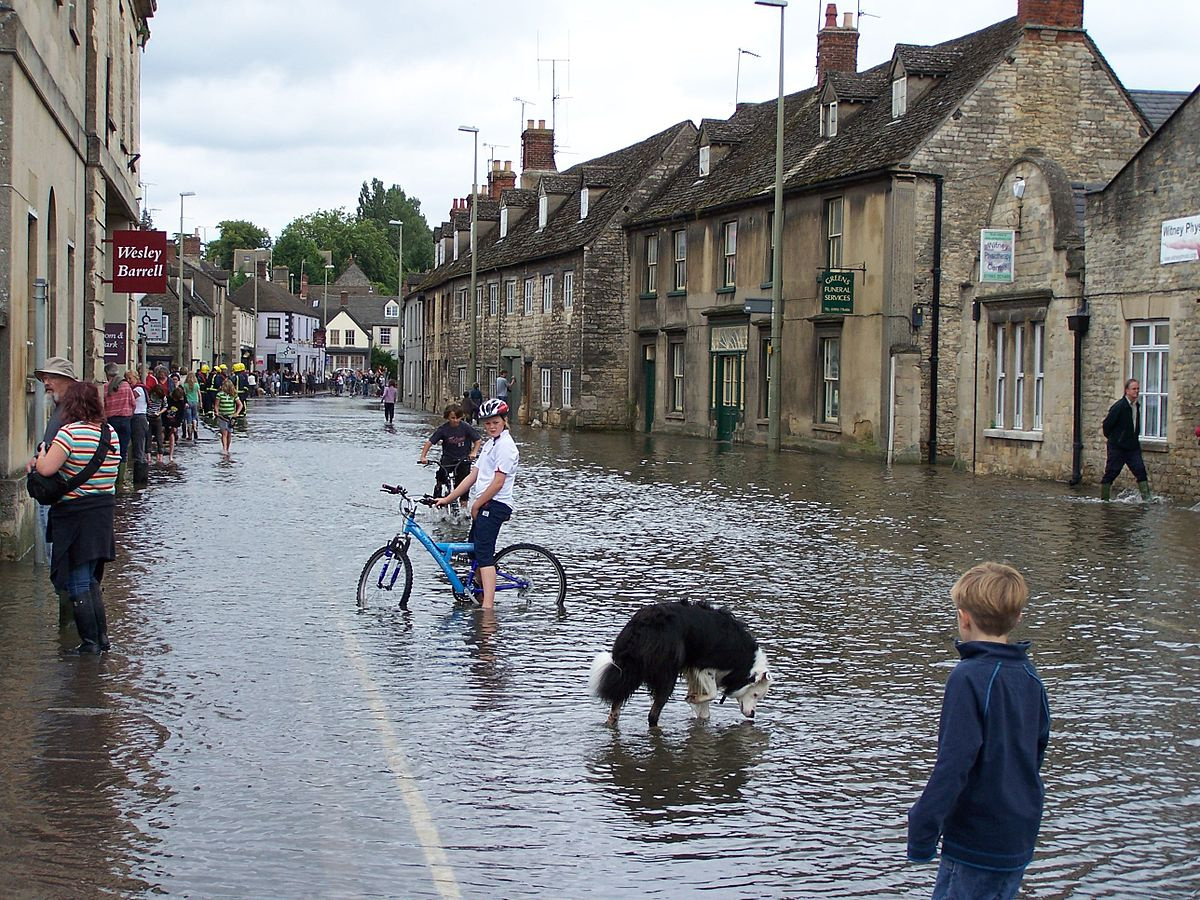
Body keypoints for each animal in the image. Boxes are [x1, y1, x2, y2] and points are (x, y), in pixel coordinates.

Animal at [588, 602, 768, 729]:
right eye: (755, 695)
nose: (752, 715)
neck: (745, 659)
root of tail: (642, 627)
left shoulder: (693, 671)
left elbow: (705, 711)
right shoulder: (704, 665)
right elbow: (713, 693)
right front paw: (692, 698)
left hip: (630, 671)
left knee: (616, 704)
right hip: (666, 674)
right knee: (652, 714)